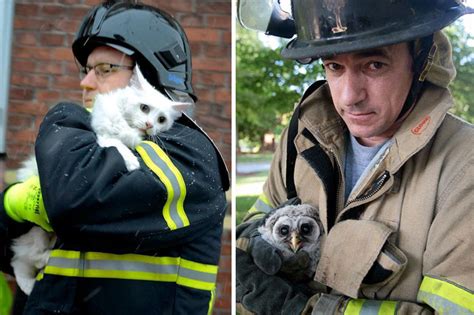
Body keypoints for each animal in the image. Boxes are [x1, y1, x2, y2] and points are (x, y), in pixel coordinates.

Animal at [10, 64, 191, 296]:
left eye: (162, 120)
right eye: (144, 108)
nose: (150, 125)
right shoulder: (104, 136)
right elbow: (118, 145)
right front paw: (132, 162)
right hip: (35, 234)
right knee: (24, 260)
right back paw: (35, 276)